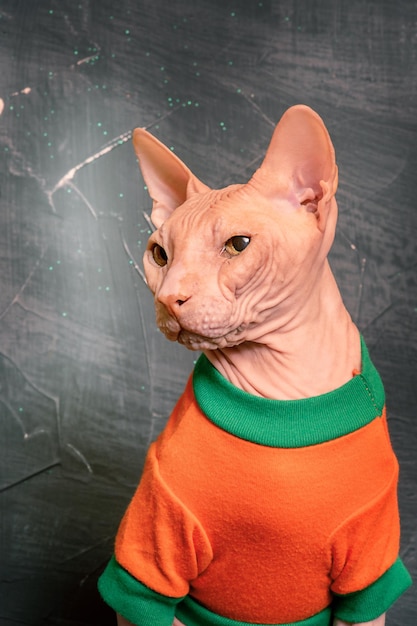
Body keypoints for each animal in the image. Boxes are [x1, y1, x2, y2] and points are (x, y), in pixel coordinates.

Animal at [98, 106, 410, 624]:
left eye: (238, 245)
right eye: (159, 255)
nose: (167, 298)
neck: (289, 399)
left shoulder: (368, 575)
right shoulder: (149, 568)